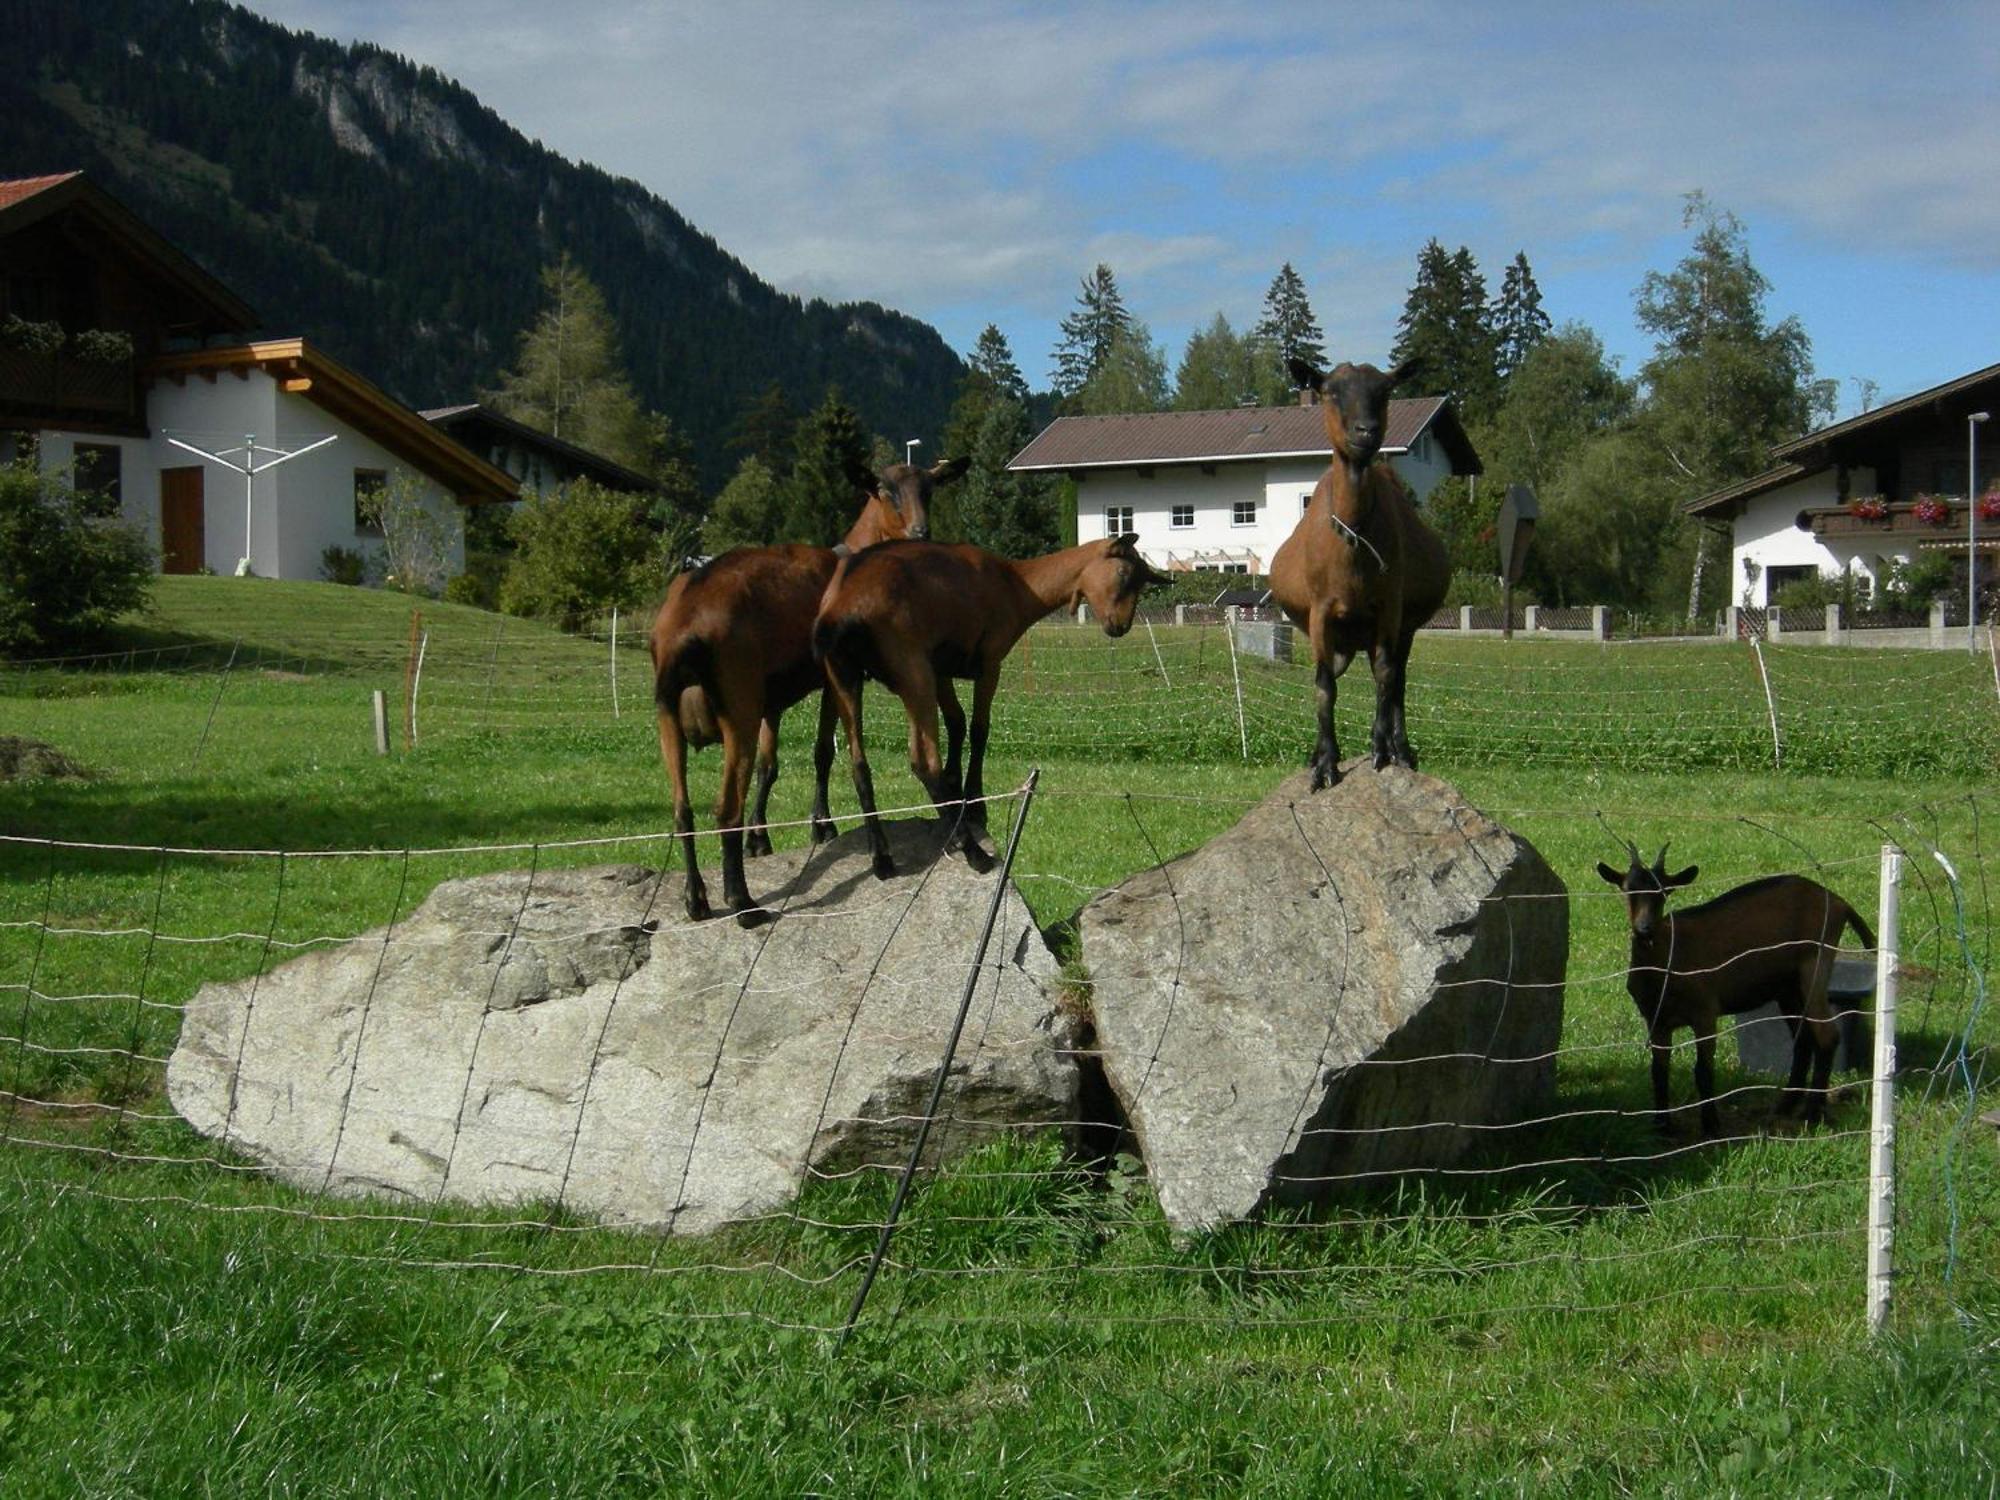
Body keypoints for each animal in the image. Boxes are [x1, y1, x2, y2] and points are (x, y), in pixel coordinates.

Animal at [648, 458, 968, 928]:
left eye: (929, 489)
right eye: (884, 490)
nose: (920, 532)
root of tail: (682, 625)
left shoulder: (772, 701)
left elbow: (769, 766)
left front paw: (762, 838)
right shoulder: (832, 680)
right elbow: (826, 753)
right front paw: (824, 825)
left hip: (668, 712)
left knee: (681, 808)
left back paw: (697, 899)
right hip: (737, 704)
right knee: (725, 808)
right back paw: (742, 903)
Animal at [808, 536, 1168, 876]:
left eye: (1141, 581)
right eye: (1122, 573)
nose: (1119, 626)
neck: (1015, 583)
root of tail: (842, 605)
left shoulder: (941, 668)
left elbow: (956, 722)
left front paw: (958, 789)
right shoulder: (989, 661)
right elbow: (979, 728)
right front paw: (975, 804)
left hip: (844, 676)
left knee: (858, 763)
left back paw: (881, 857)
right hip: (911, 669)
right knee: (922, 762)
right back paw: (972, 851)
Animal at [1272, 356, 1448, 792]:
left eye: (1384, 391)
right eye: (1330, 391)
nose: (1365, 431)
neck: (1352, 535)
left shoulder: (1388, 607)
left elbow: (1386, 677)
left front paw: (1381, 750)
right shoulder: (1320, 613)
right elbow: (1324, 687)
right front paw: (1324, 764)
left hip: (1400, 628)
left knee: (1396, 681)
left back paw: (1401, 750)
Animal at [1592, 848, 1872, 1136]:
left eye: (1665, 891)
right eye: (1628, 889)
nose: (1644, 928)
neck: (1668, 962)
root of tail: (1839, 902)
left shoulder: (1705, 1013)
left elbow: (1703, 1070)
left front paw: (1711, 1126)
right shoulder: (1656, 1020)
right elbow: (1658, 1070)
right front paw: (1662, 1125)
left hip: (1814, 966)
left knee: (1827, 1035)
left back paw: (1813, 1112)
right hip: (1787, 989)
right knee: (1803, 1039)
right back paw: (1785, 1106)